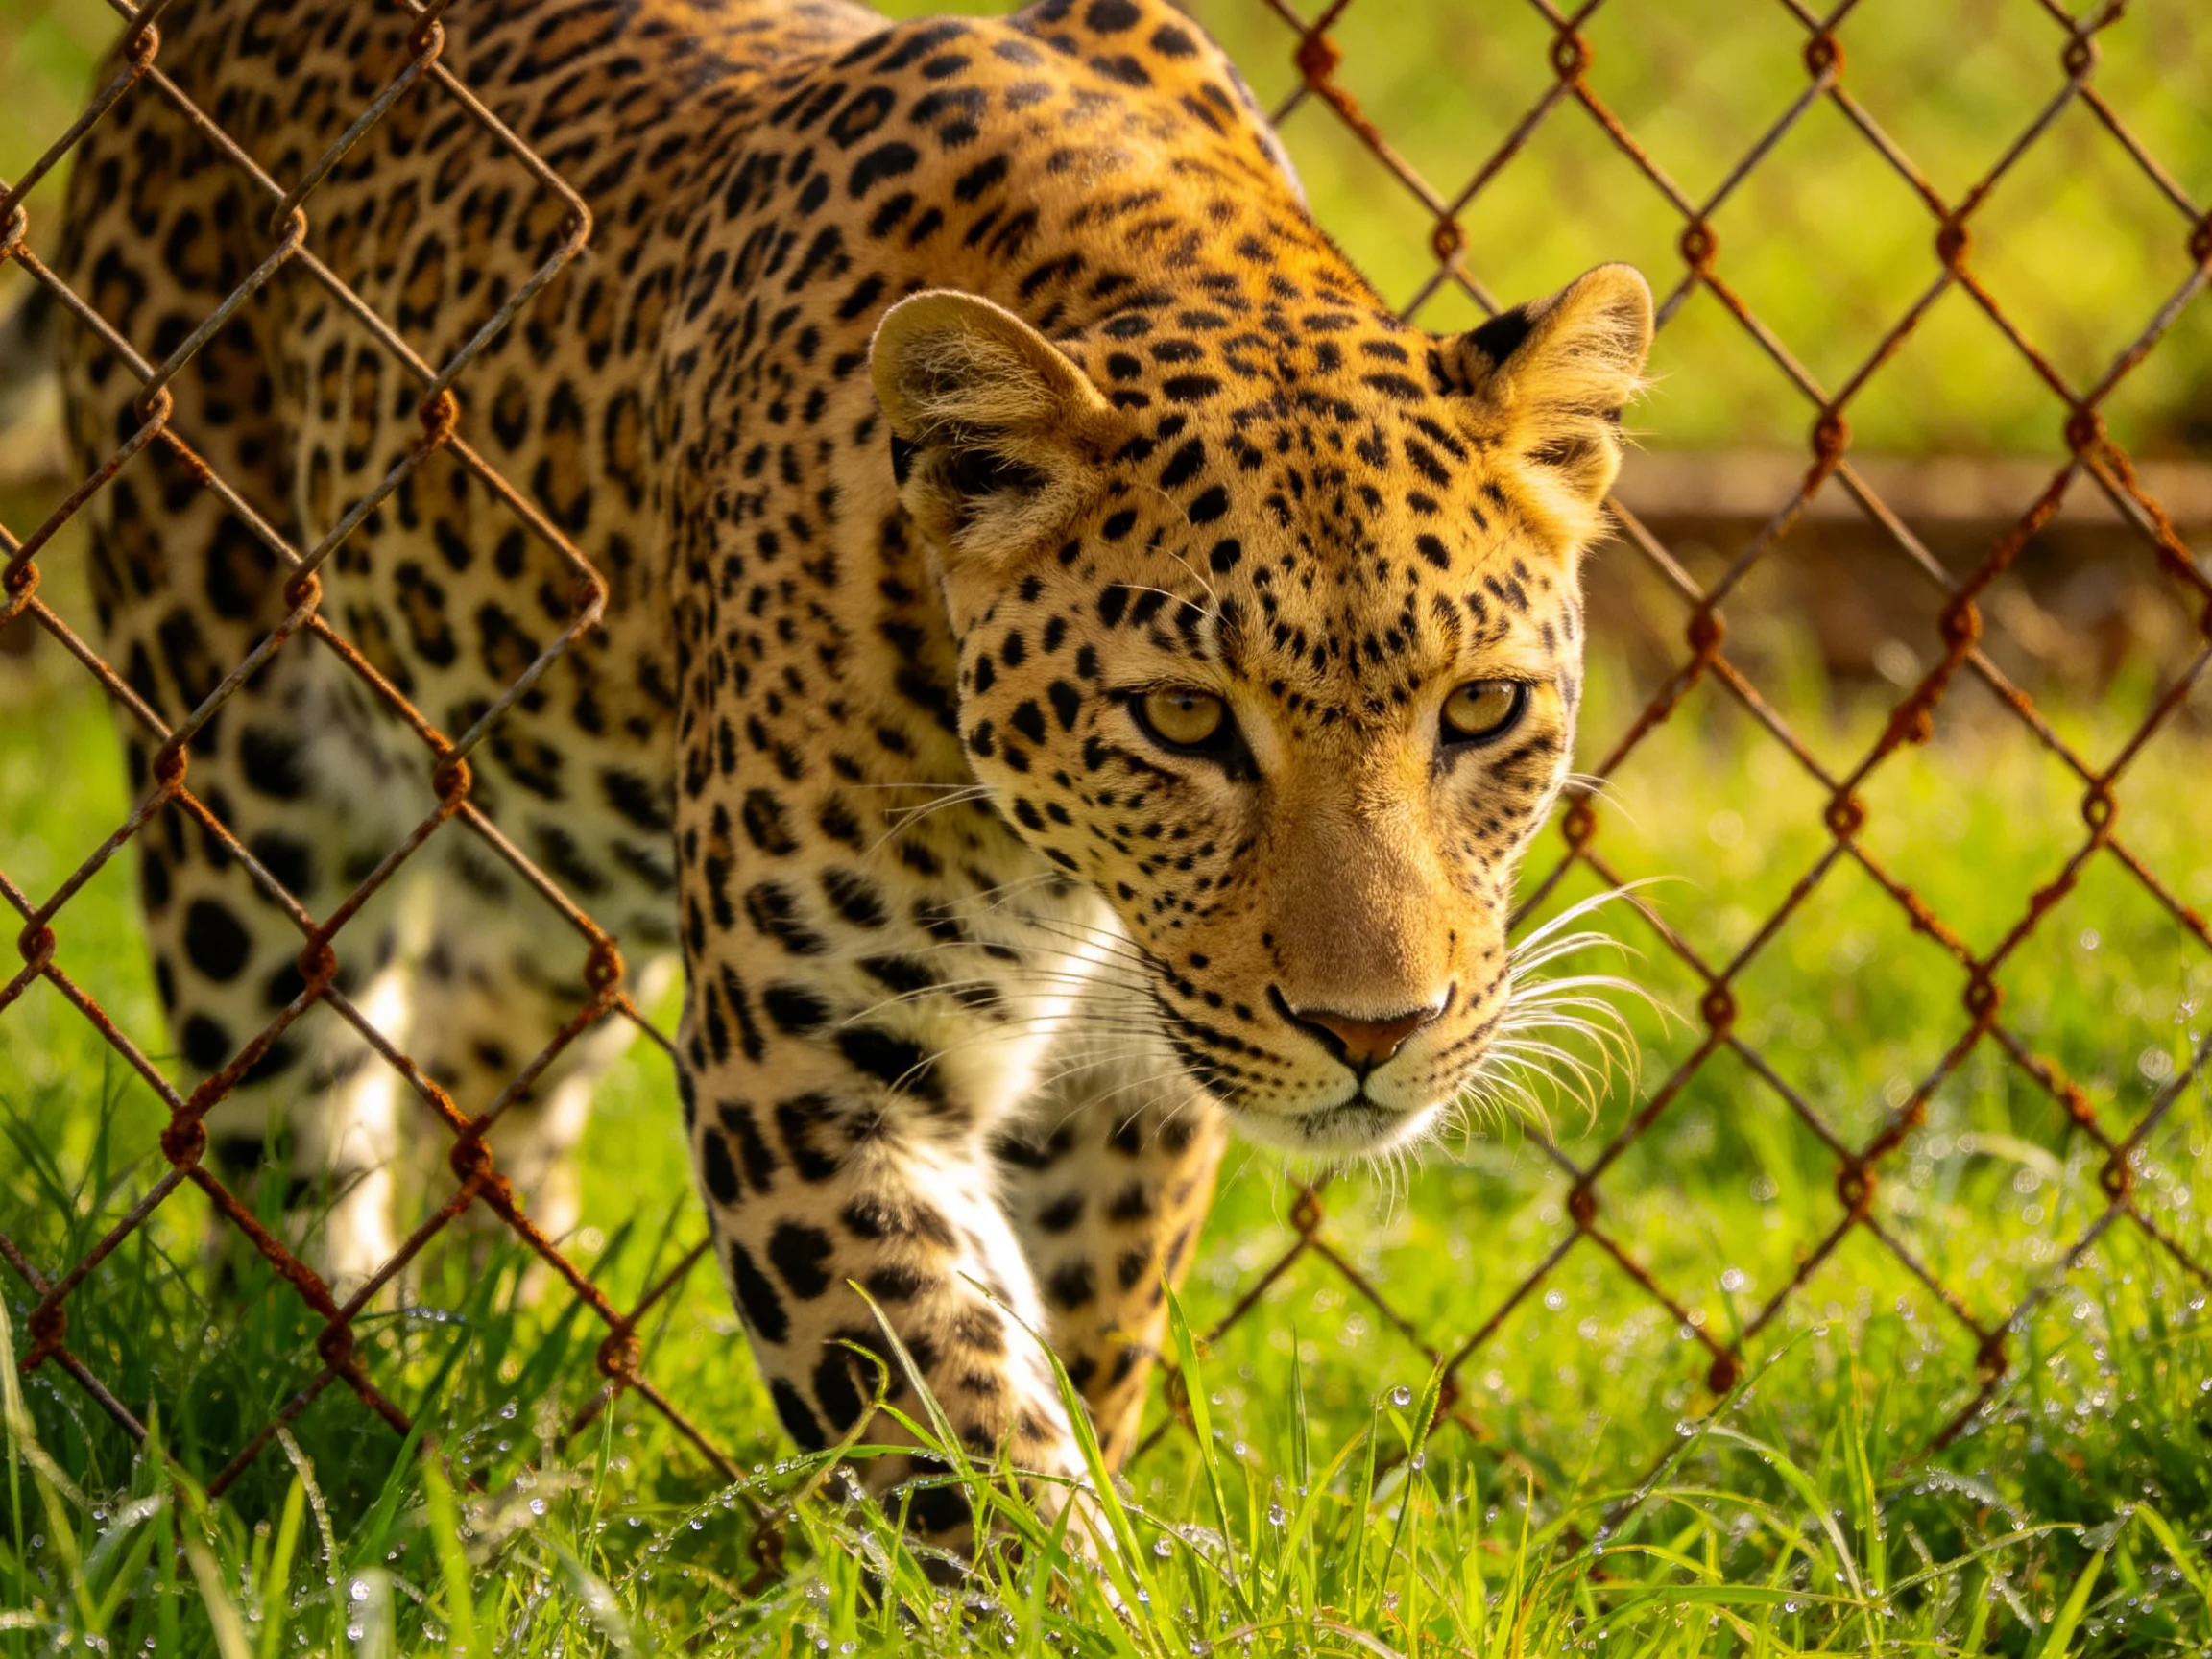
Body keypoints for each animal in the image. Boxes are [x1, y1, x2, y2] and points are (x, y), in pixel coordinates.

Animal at [23, 0, 1651, 1552]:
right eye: (1186, 720)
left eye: (1483, 707)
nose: (1375, 1032)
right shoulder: (819, 1069)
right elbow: (960, 1439)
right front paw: (1071, 1591)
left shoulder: (1130, 1090)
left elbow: (1081, 1349)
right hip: (239, 764)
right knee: (282, 1133)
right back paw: (310, 1413)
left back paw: (488, 1365)